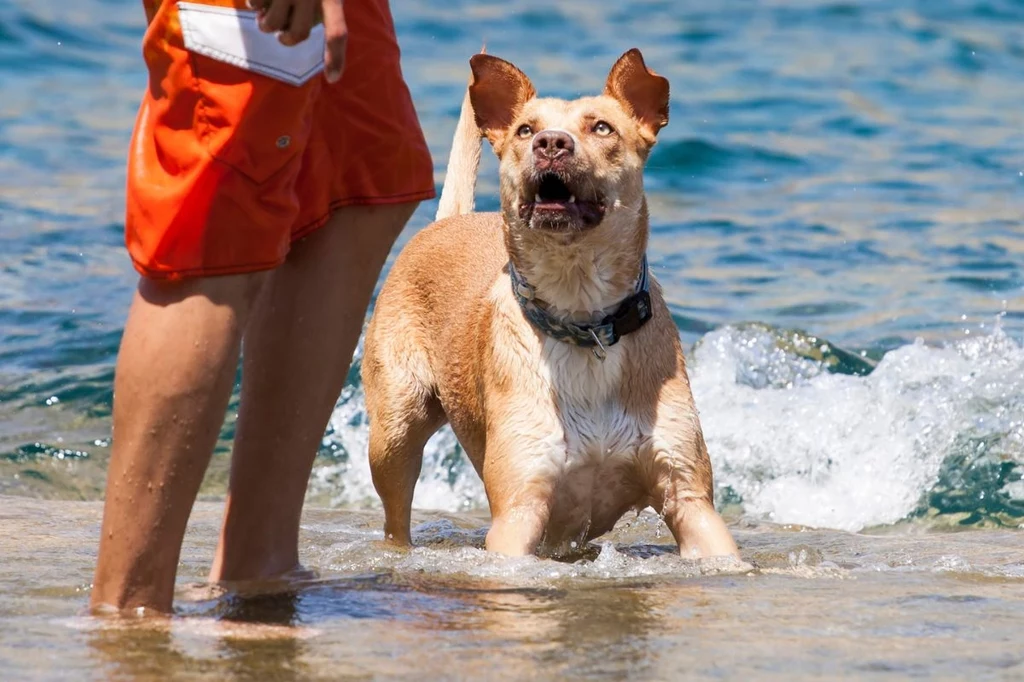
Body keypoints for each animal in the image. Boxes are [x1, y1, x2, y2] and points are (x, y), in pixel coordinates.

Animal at [364, 46, 741, 557]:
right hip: (394, 429)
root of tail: (445, 222)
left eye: (601, 127)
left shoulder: (689, 496)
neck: (584, 319)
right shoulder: (519, 508)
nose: (551, 143)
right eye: (526, 130)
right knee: (395, 510)